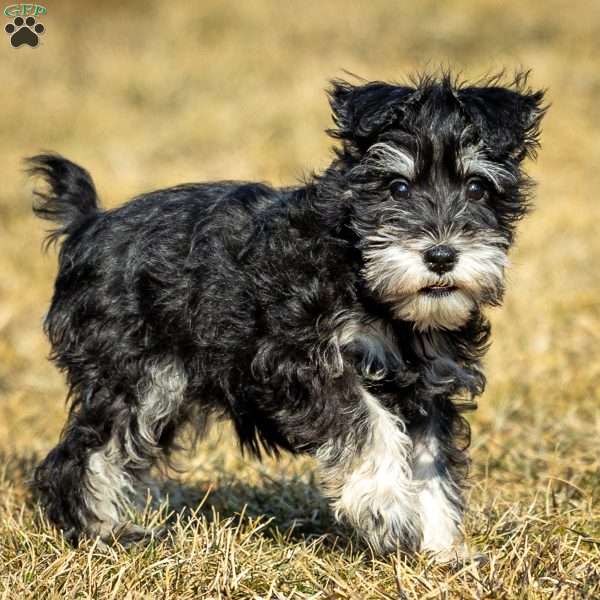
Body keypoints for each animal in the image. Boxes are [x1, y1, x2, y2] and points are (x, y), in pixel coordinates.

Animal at [28, 72, 544, 556]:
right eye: (397, 187)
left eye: (477, 188)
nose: (440, 256)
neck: (357, 262)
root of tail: (88, 224)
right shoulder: (296, 361)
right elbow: (368, 424)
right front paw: (389, 510)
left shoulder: (427, 385)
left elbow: (431, 462)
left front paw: (441, 551)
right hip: (137, 378)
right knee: (82, 454)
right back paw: (104, 534)